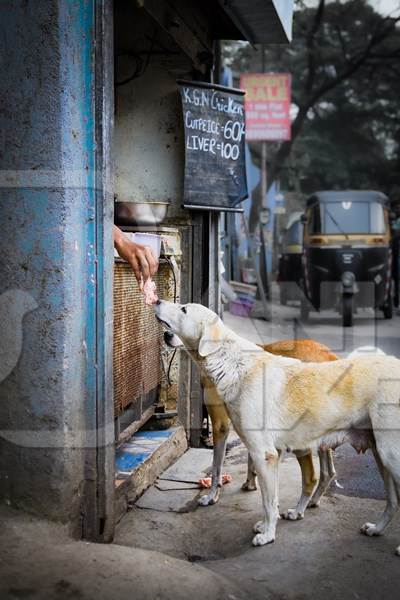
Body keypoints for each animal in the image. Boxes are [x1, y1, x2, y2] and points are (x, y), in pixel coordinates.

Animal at [155, 300, 400, 552]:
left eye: (184, 309)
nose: (157, 301)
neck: (231, 363)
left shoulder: (259, 451)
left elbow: (264, 499)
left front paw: (267, 535)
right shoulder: (272, 453)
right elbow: (269, 497)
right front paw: (265, 525)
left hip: (390, 455)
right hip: (381, 456)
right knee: (392, 502)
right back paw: (376, 528)